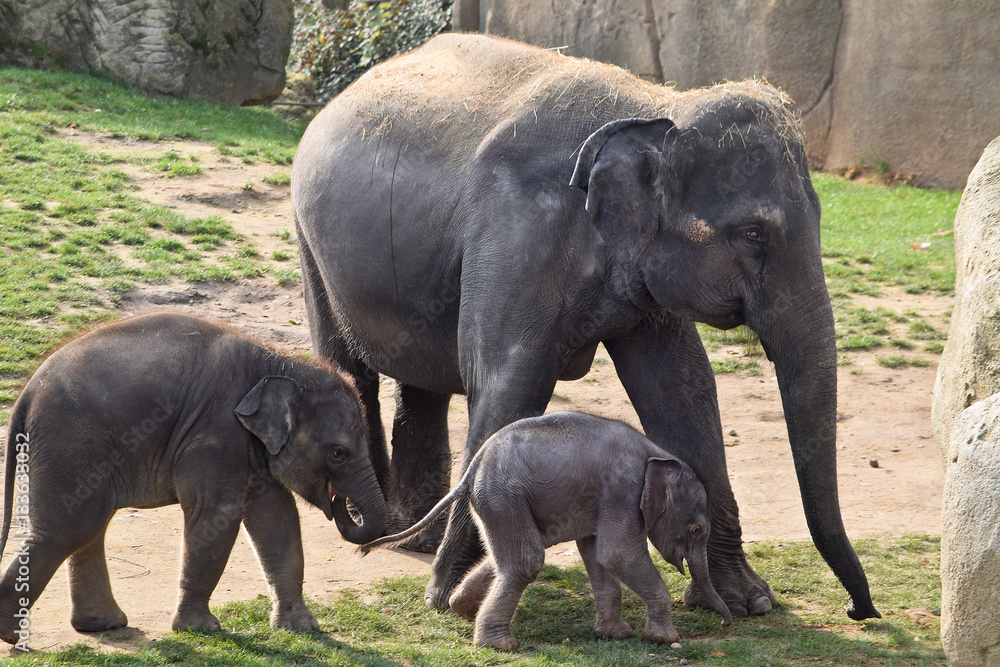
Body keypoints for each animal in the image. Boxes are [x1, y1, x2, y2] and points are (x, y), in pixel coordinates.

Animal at [0, 312, 385, 643]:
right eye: (338, 453)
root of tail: (26, 393)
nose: (341, 503)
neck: (277, 362)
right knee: (68, 529)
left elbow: (275, 515)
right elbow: (216, 513)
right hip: (70, 444)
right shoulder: (216, 430)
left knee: (89, 527)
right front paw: (201, 629)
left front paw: (302, 628)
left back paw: (102, 625)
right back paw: (11, 634)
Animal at [291, 33, 880, 621]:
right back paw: (378, 533)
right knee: (349, 370)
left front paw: (749, 601)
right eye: (754, 233)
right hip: (310, 243)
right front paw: (450, 598)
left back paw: (414, 539)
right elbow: (510, 383)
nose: (858, 611)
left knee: (422, 384)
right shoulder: (518, 232)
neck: (656, 105)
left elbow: (682, 390)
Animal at [361, 412, 732, 650]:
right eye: (696, 529)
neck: (657, 454)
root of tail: (472, 468)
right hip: (503, 496)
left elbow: (597, 555)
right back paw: (500, 645)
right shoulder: (621, 489)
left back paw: (461, 608)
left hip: (496, 501)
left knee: (511, 557)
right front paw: (664, 639)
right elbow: (616, 555)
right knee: (526, 560)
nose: (726, 624)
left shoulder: (604, 497)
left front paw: (616, 636)